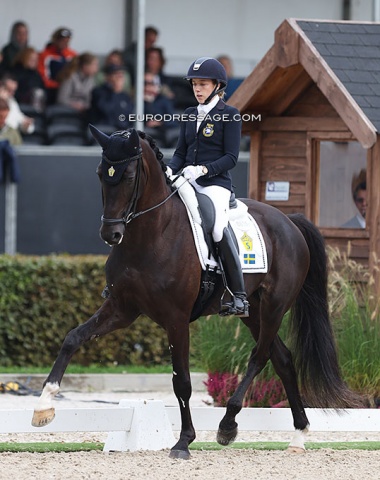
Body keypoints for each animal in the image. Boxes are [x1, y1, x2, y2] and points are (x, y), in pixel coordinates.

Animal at [31, 125, 362, 460]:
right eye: (101, 173)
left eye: (128, 176)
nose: (111, 234)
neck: (151, 235)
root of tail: (289, 221)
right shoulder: (122, 309)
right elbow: (73, 337)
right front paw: (44, 405)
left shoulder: (176, 319)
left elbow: (183, 382)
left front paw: (183, 442)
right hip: (252, 311)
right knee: (282, 358)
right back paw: (298, 435)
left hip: (274, 307)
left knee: (260, 356)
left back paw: (228, 424)